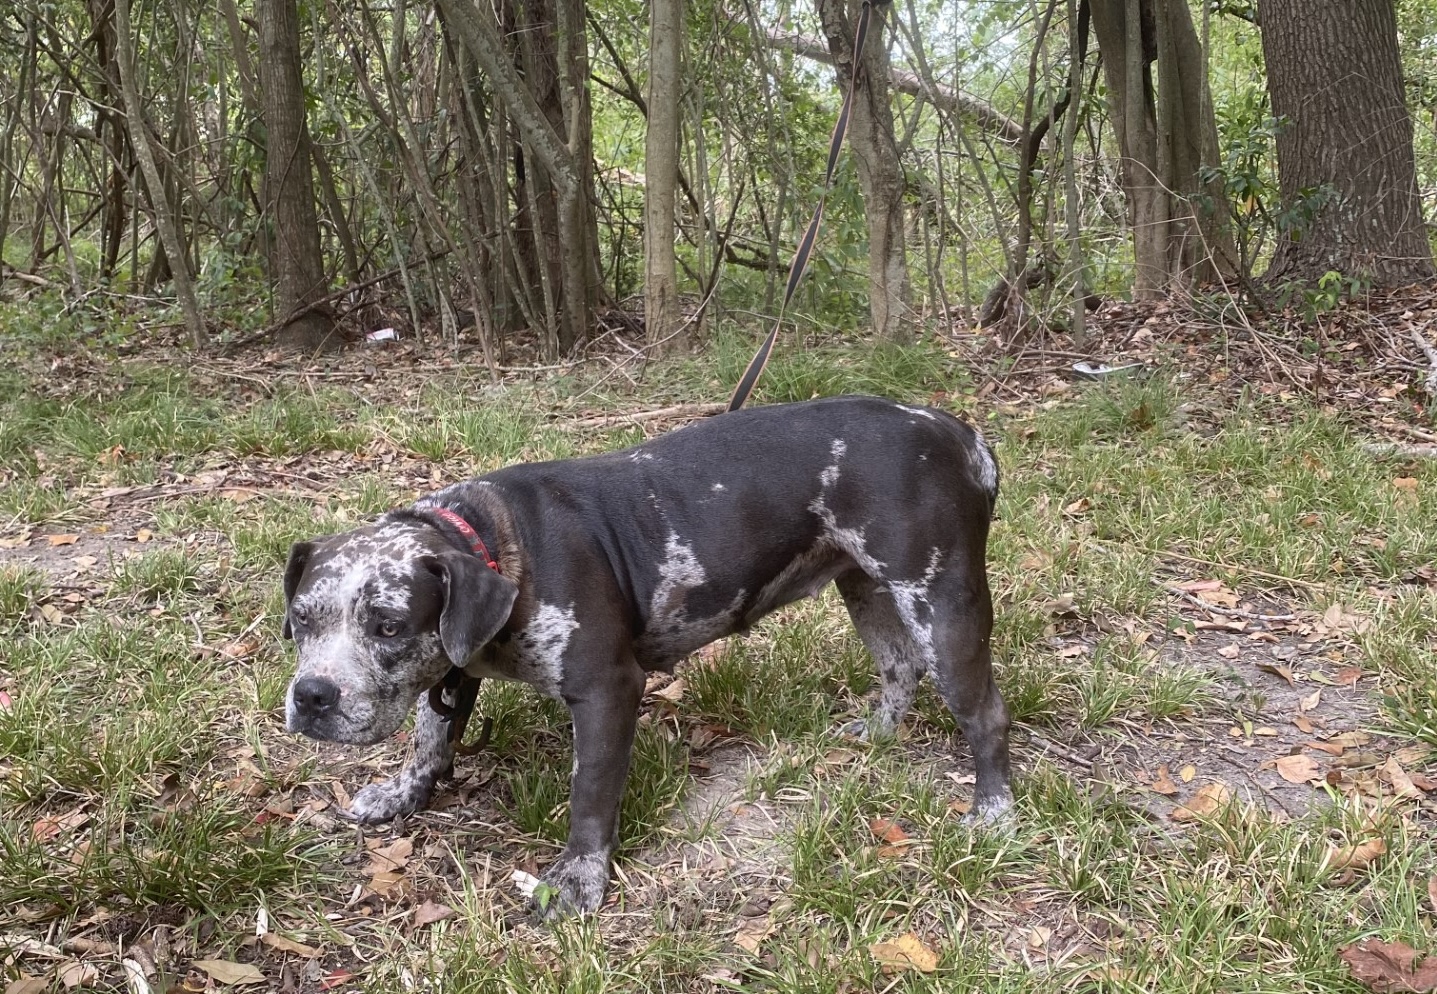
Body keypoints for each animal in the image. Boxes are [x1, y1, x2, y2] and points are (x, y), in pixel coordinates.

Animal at [280, 393, 1011, 913]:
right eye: (300, 620)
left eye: (387, 626)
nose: (312, 696)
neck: (492, 544)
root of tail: (956, 432)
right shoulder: (452, 673)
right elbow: (430, 740)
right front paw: (403, 793)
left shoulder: (606, 692)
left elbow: (590, 796)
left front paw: (578, 878)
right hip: (865, 587)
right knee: (898, 665)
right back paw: (880, 735)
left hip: (942, 606)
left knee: (985, 714)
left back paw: (993, 812)